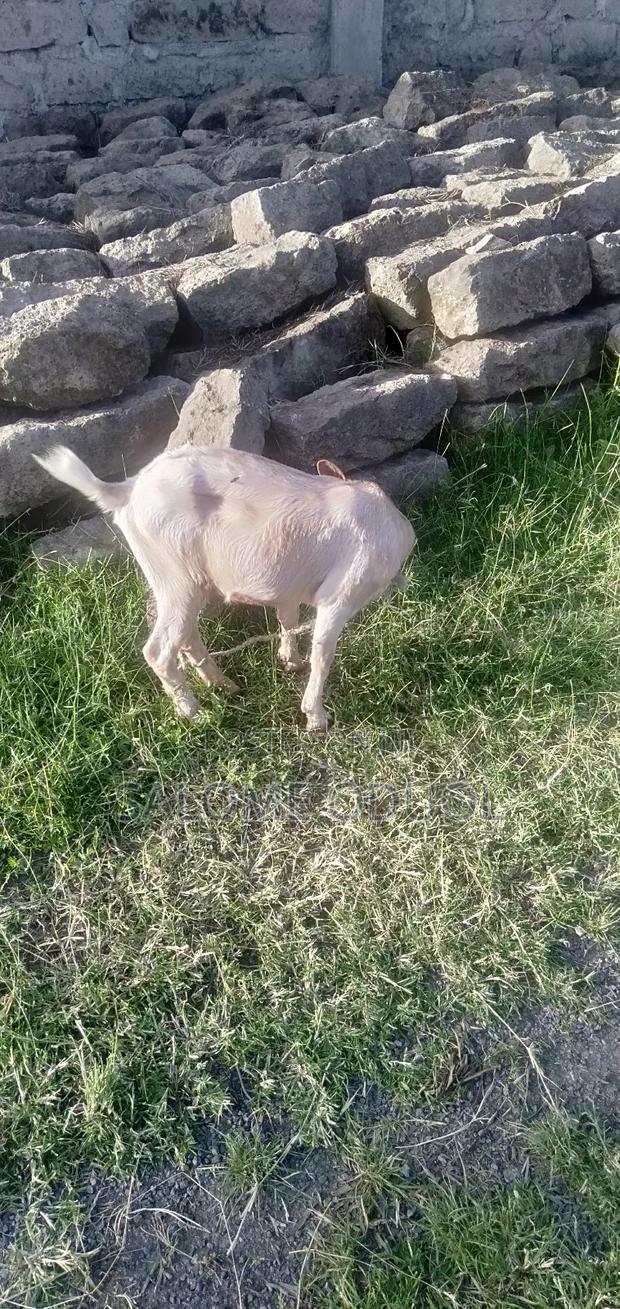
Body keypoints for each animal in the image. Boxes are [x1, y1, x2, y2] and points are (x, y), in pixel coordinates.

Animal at [34, 444, 416, 729]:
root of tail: (127, 490)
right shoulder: (341, 594)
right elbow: (323, 653)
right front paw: (316, 717)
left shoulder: (289, 588)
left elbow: (288, 619)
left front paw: (289, 660)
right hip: (175, 573)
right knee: (159, 648)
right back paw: (194, 712)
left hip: (183, 579)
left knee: (186, 633)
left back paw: (222, 684)